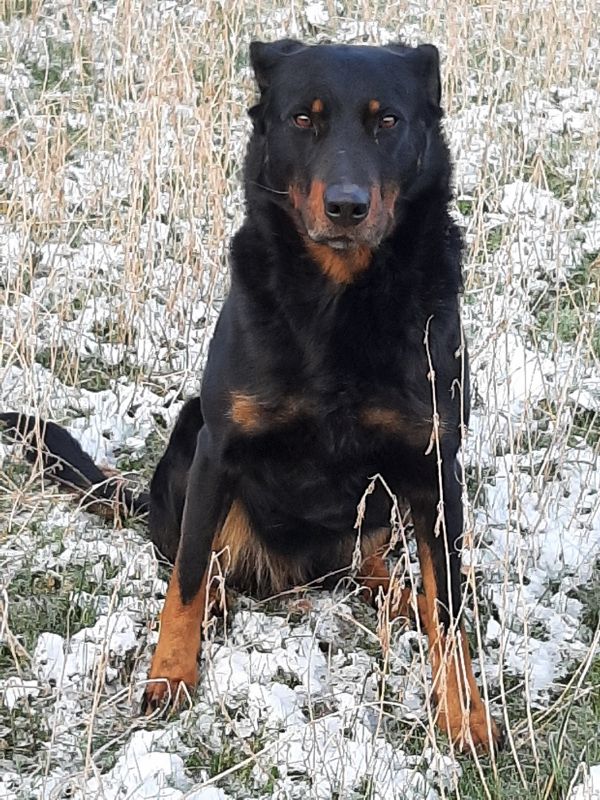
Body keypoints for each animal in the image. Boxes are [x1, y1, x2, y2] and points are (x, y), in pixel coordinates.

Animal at [0, 39, 501, 752]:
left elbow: (451, 609)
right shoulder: (220, 445)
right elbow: (183, 578)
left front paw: (465, 714)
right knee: (194, 556)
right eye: (302, 119)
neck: (338, 300)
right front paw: (170, 673)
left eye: (387, 121)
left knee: (373, 570)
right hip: (188, 436)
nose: (347, 206)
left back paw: (401, 596)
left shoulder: (433, 463)